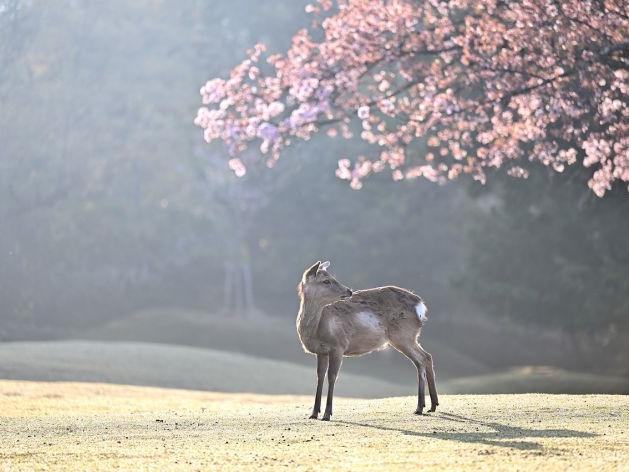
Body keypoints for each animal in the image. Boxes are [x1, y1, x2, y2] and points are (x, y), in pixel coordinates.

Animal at [296, 262, 440, 420]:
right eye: (326, 281)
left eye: (333, 277)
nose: (349, 291)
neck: (316, 329)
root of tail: (420, 305)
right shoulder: (321, 351)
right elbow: (319, 377)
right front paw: (314, 413)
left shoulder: (339, 346)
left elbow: (332, 377)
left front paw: (327, 414)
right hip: (408, 337)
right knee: (426, 357)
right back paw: (432, 405)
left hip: (403, 335)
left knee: (421, 359)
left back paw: (420, 407)